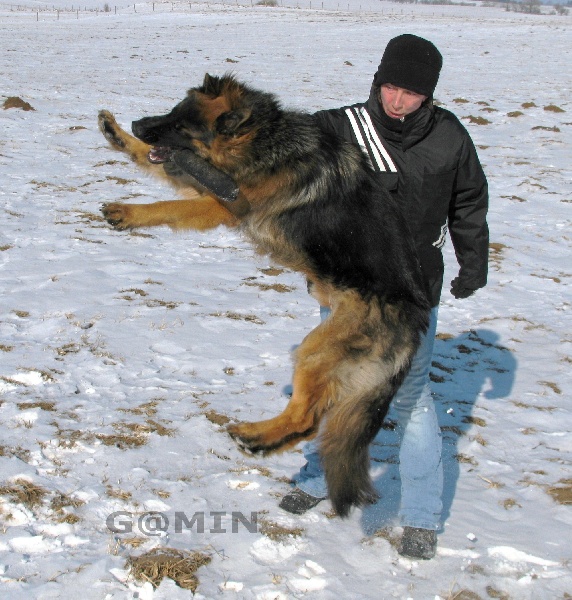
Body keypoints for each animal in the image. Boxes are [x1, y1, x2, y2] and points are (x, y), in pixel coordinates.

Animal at [98, 74, 428, 516]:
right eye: (171, 112)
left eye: (181, 127)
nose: (137, 123)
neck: (264, 141)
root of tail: (415, 324)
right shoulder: (209, 184)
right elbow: (161, 167)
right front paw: (117, 135)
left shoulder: (221, 203)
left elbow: (168, 203)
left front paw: (130, 212)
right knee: (310, 425)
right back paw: (260, 441)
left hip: (315, 350)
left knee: (307, 419)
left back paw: (254, 436)